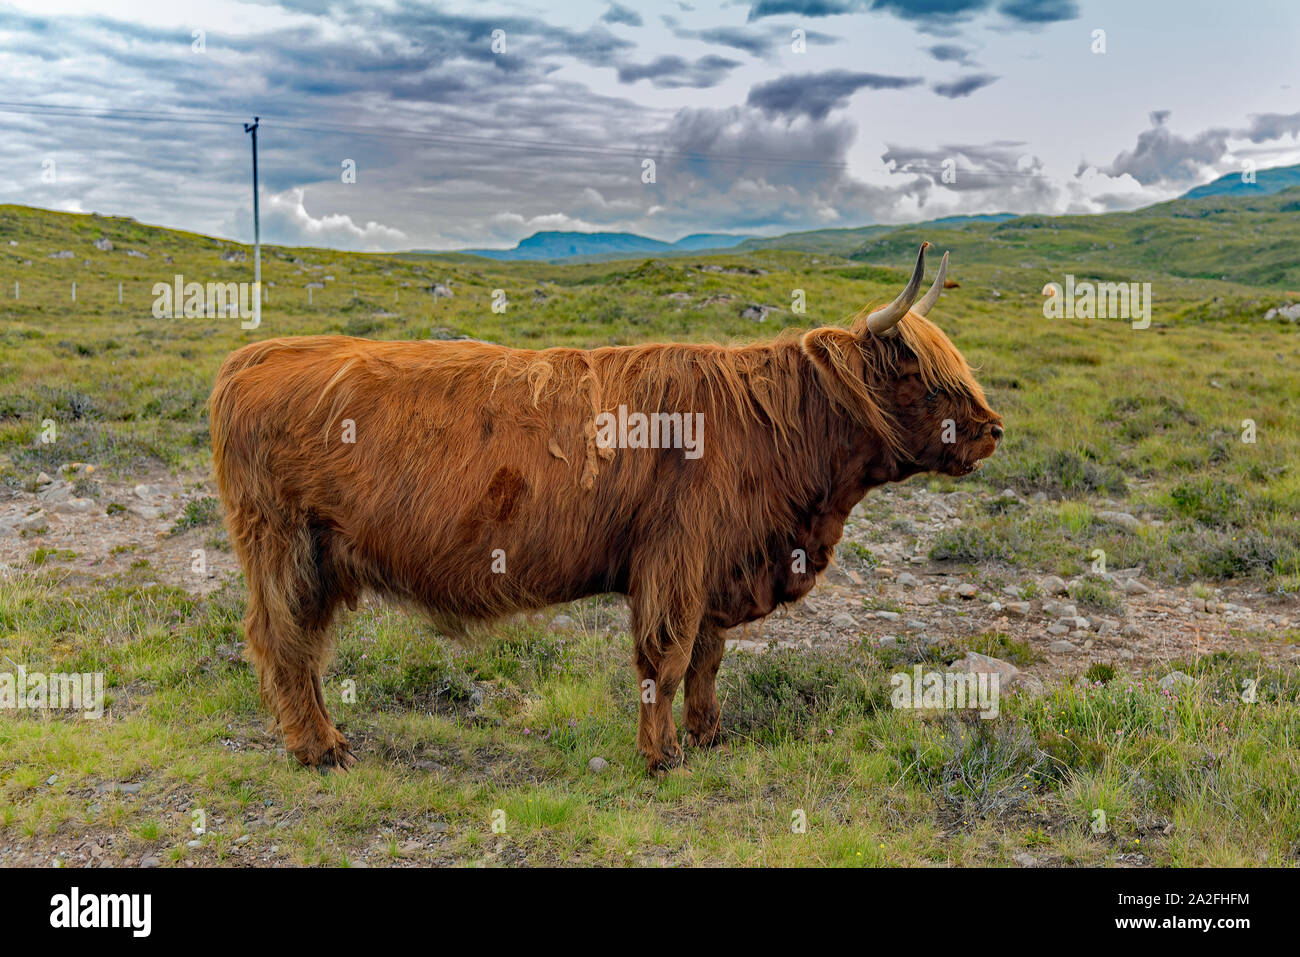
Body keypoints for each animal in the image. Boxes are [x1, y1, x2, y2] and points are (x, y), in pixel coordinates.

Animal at [210, 243, 1003, 774]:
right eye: (924, 377)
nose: (994, 429)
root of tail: (253, 357)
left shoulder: (714, 569)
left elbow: (707, 659)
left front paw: (708, 734)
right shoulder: (674, 561)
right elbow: (667, 659)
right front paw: (662, 756)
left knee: (300, 645)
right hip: (288, 548)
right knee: (283, 642)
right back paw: (320, 747)